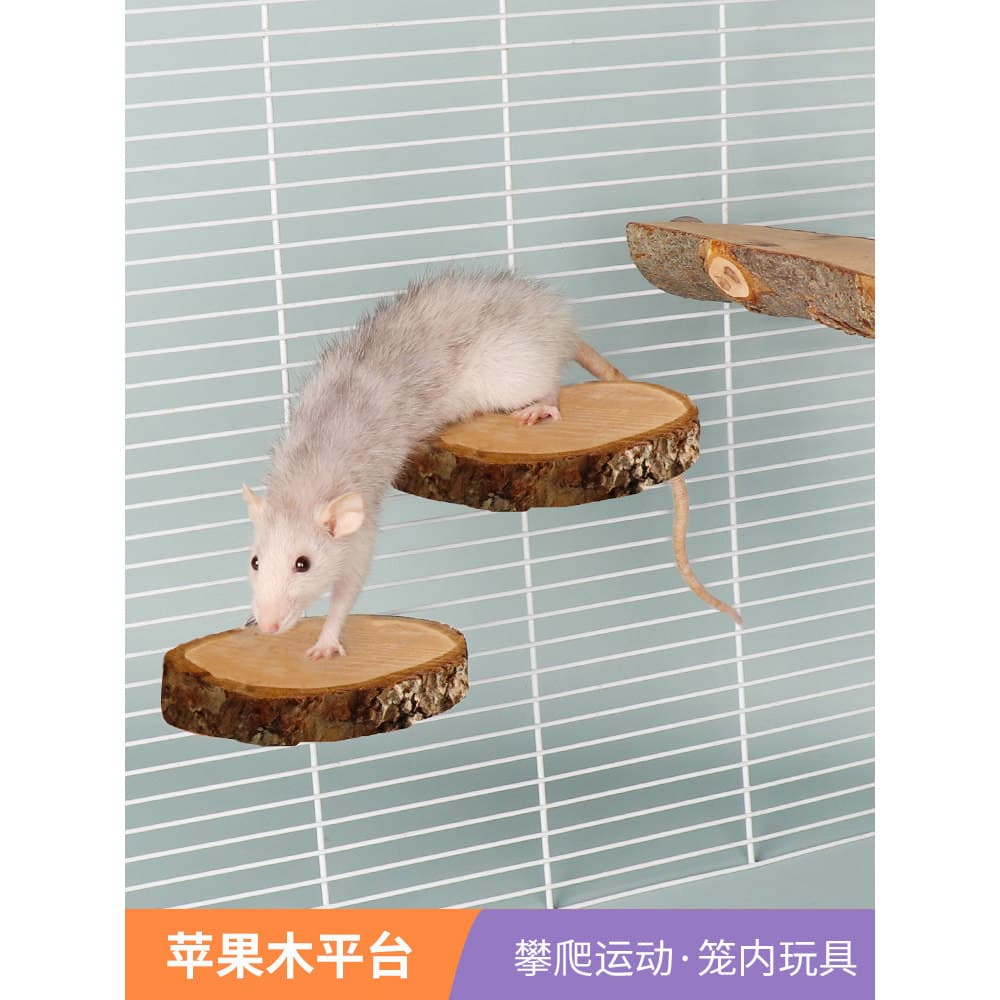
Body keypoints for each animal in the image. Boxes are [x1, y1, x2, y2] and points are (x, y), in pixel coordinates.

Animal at [242, 269, 739, 661]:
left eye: (303, 564)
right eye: (254, 561)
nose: (267, 625)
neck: (308, 471)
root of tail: (556, 324)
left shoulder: (362, 524)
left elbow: (352, 583)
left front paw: (328, 638)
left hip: (514, 371)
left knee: (550, 384)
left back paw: (541, 407)